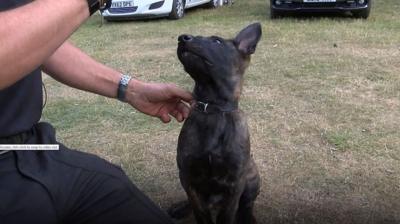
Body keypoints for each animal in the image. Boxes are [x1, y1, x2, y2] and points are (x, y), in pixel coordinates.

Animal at [173, 23, 262, 224]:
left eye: (216, 41)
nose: (182, 38)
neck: (212, 109)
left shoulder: (235, 183)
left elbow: (227, 214)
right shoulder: (187, 177)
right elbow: (200, 211)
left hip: (252, 177)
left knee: (247, 203)